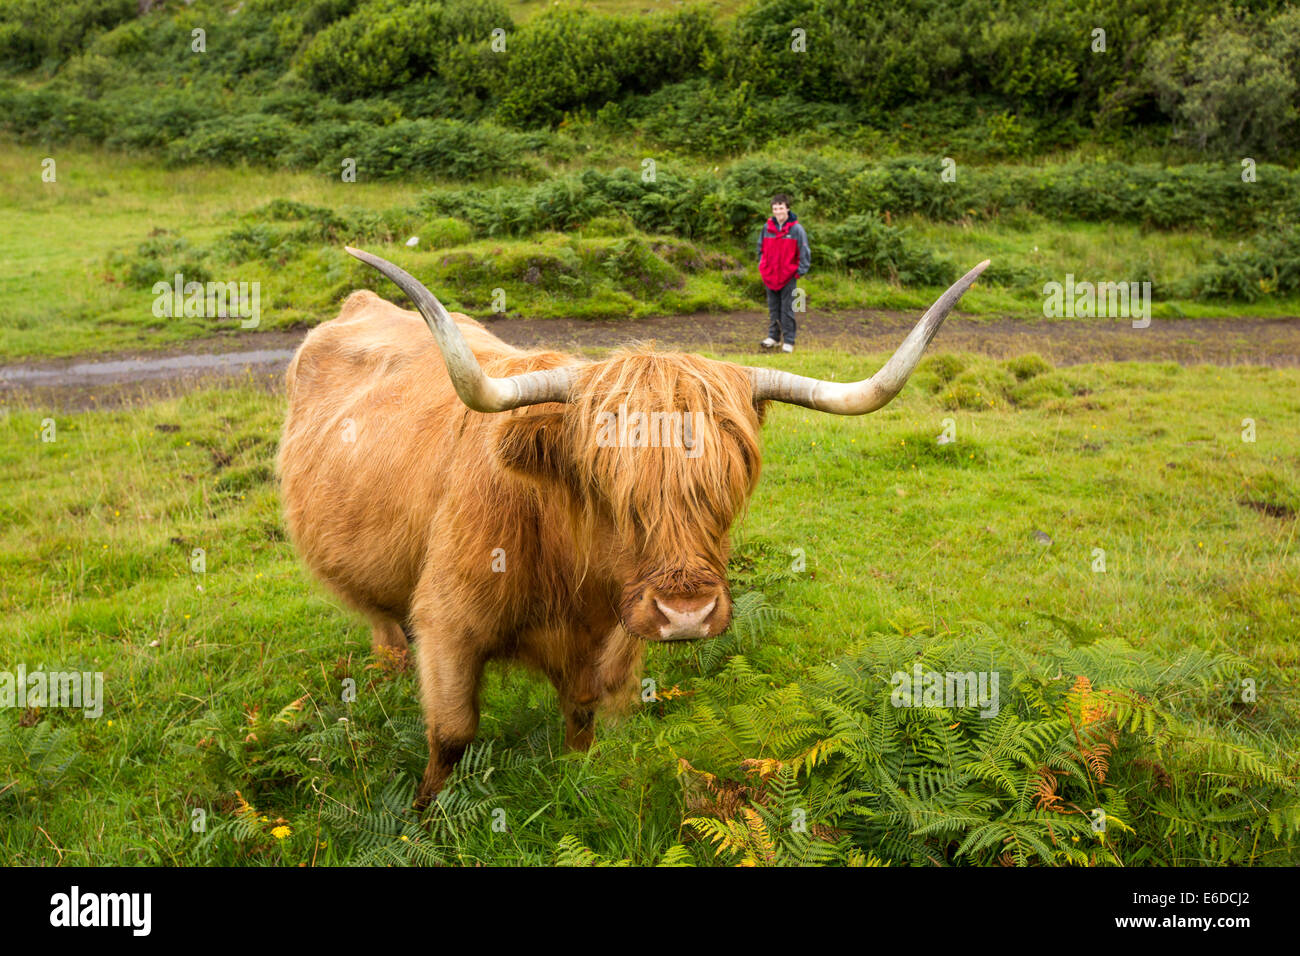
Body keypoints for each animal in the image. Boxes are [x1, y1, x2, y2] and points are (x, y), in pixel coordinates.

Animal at [277, 247, 989, 809]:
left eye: (729, 484)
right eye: (609, 488)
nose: (686, 613)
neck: (567, 577)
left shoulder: (613, 638)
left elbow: (586, 719)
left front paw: (576, 776)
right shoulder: (447, 624)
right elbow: (450, 736)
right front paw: (425, 820)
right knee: (383, 628)